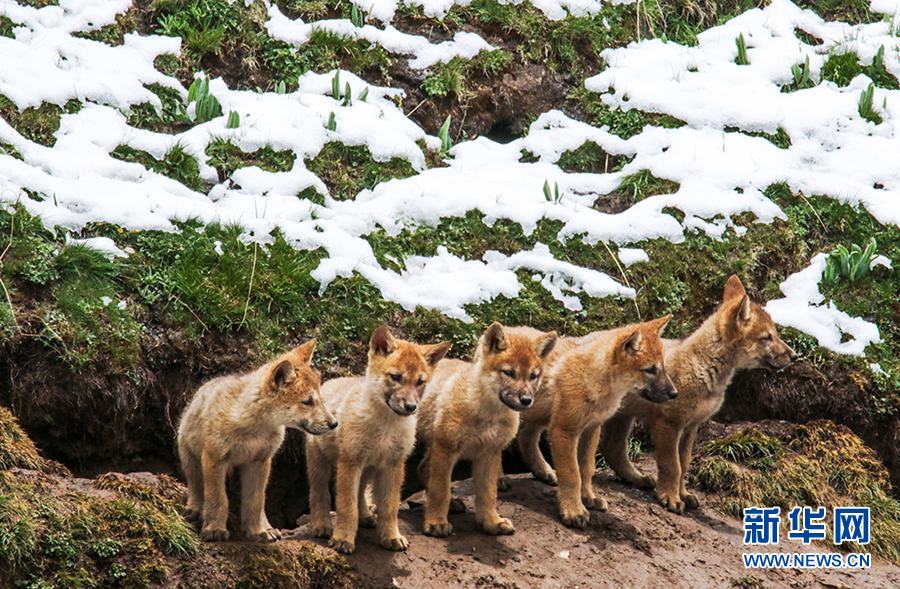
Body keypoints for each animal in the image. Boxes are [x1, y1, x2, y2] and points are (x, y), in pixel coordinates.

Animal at [177, 339, 335, 542]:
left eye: (320, 399)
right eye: (307, 402)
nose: (334, 423)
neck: (254, 430)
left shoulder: (259, 462)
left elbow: (255, 501)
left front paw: (256, 531)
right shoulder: (214, 458)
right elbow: (217, 498)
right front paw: (214, 529)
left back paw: (268, 529)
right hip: (190, 459)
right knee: (196, 486)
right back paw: (194, 509)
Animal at [306, 326, 450, 554]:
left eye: (420, 382)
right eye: (396, 377)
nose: (411, 407)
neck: (385, 428)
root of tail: (331, 381)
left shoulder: (393, 465)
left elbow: (389, 508)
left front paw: (391, 537)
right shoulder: (350, 463)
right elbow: (346, 506)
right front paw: (343, 539)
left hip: (369, 469)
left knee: (361, 494)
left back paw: (366, 516)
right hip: (320, 464)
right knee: (319, 494)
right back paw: (322, 525)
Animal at [417, 322, 558, 537]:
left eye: (533, 376)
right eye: (509, 373)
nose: (526, 400)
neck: (488, 415)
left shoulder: (489, 453)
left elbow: (488, 494)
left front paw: (491, 522)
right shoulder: (446, 447)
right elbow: (439, 489)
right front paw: (436, 522)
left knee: (422, 469)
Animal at [538, 316, 677, 528]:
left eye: (663, 367)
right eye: (650, 370)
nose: (675, 393)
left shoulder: (591, 429)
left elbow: (586, 469)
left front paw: (588, 498)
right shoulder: (564, 431)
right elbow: (572, 474)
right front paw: (573, 510)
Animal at [599, 275, 798, 514]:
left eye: (774, 335)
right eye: (767, 337)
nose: (795, 356)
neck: (701, 368)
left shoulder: (690, 426)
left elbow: (684, 464)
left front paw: (683, 494)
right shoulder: (670, 424)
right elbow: (672, 465)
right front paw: (670, 498)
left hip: (624, 417)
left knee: (613, 449)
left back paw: (638, 479)